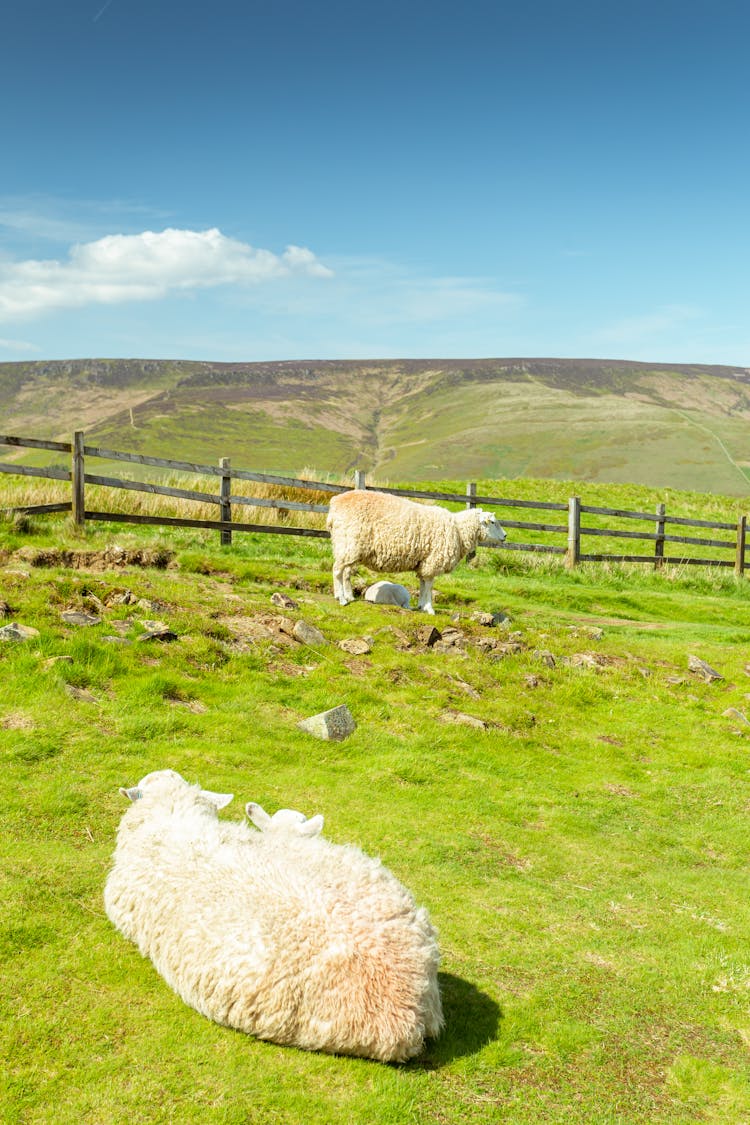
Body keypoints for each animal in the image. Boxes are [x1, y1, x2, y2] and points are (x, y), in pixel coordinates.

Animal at [326, 488, 508, 616]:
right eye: (492, 522)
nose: (505, 536)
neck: (458, 529)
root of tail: (335, 504)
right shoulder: (433, 561)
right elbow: (429, 585)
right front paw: (429, 608)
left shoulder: (424, 562)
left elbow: (422, 583)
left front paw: (421, 606)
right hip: (348, 542)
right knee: (337, 571)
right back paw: (341, 599)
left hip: (349, 547)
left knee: (345, 573)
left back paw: (349, 596)